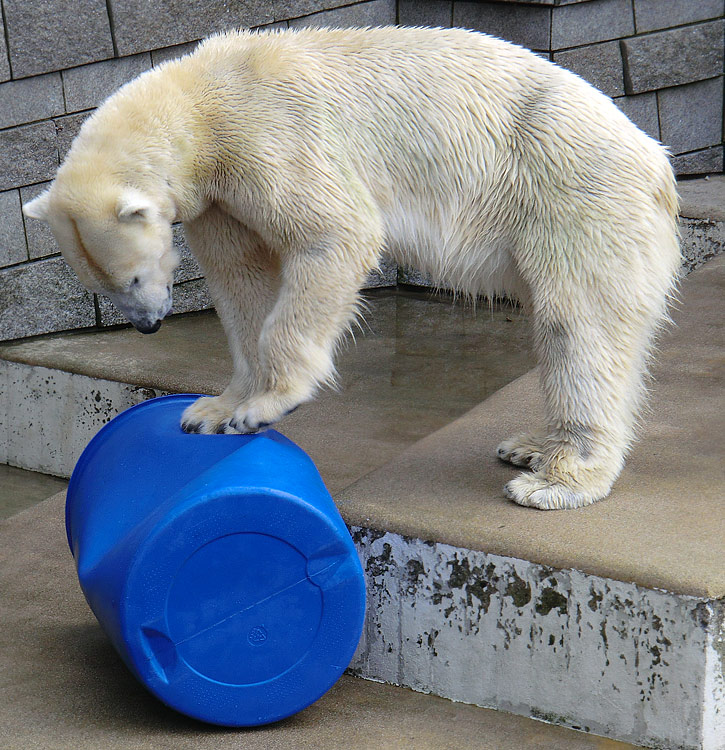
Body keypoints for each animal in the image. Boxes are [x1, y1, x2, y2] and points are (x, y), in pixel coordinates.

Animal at [22, 26, 680, 516]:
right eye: (101, 286)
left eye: (131, 279)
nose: (148, 326)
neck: (202, 100)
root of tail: (658, 166)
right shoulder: (218, 198)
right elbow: (240, 282)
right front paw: (210, 411)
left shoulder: (267, 137)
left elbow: (333, 234)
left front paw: (267, 406)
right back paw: (528, 447)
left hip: (574, 200)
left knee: (579, 326)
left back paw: (555, 478)